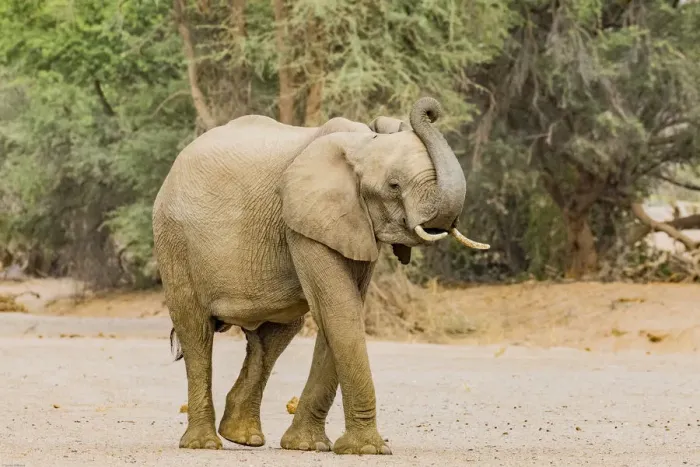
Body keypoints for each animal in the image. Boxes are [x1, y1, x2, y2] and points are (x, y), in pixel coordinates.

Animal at [151, 97, 489, 455]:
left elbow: (339, 313)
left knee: (274, 335)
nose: (430, 110)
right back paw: (204, 444)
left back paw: (243, 437)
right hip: (174, 239)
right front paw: (368, 450)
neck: (361, 142)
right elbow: (339, 309)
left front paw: (308, 447)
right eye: (394, 186)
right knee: (196, 329)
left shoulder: (353, 222)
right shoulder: (304, 220)